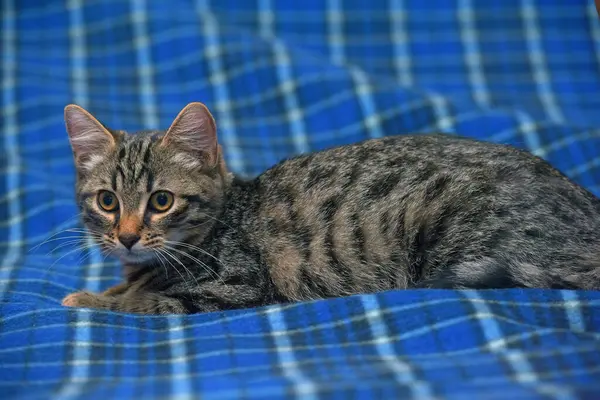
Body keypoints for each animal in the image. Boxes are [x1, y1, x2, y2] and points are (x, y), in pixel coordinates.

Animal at [61, 101, 600, 314]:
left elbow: (143, 304)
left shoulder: (235, 288)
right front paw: (107, 288)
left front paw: (90, 300)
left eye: (161, 201)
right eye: (107, 201)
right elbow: (129, 289)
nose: (127, 236)